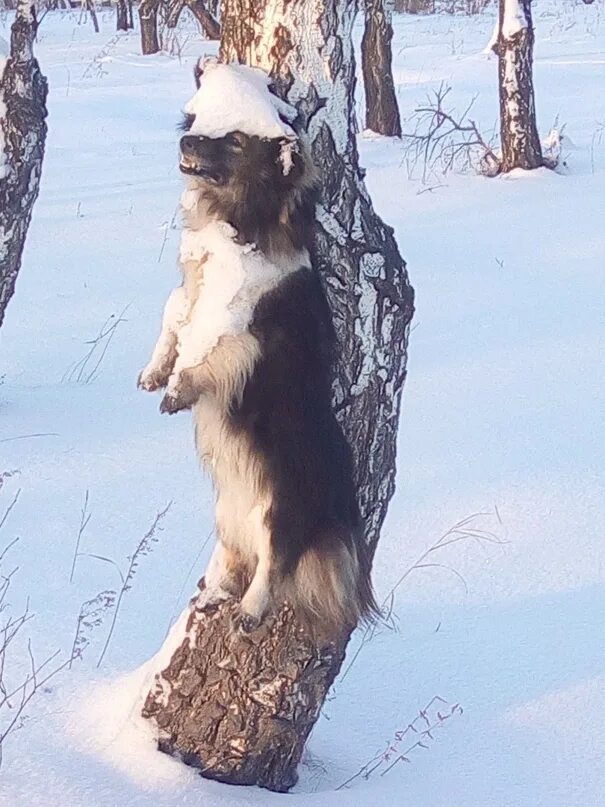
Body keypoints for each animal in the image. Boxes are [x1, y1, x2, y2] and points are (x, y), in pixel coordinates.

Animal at [139, 61, 376, 644]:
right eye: (199, 124)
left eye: (237, 139)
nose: (184, 138)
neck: (236, 223)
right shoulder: (192, 289)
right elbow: (173, 318)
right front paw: (155, 372)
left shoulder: (250, 333)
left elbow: (209, 350)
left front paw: (178, 388)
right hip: (229, 514)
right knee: (236, 560)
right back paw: (214, 594)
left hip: (280, 510)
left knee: (273, 566)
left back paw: (248, 610)